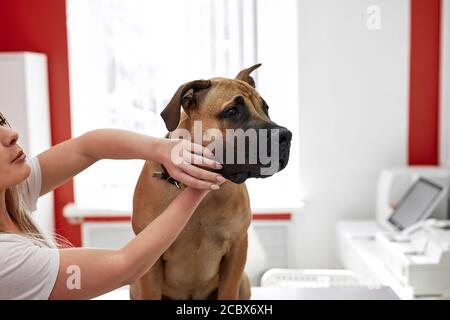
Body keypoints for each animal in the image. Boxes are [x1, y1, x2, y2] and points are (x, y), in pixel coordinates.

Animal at [129, 65, 292, 300]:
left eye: (266, 109)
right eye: (232, 111)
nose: (285, 136)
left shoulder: (236, 249)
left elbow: (228, 290)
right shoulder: (149, 259)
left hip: (243, 280)